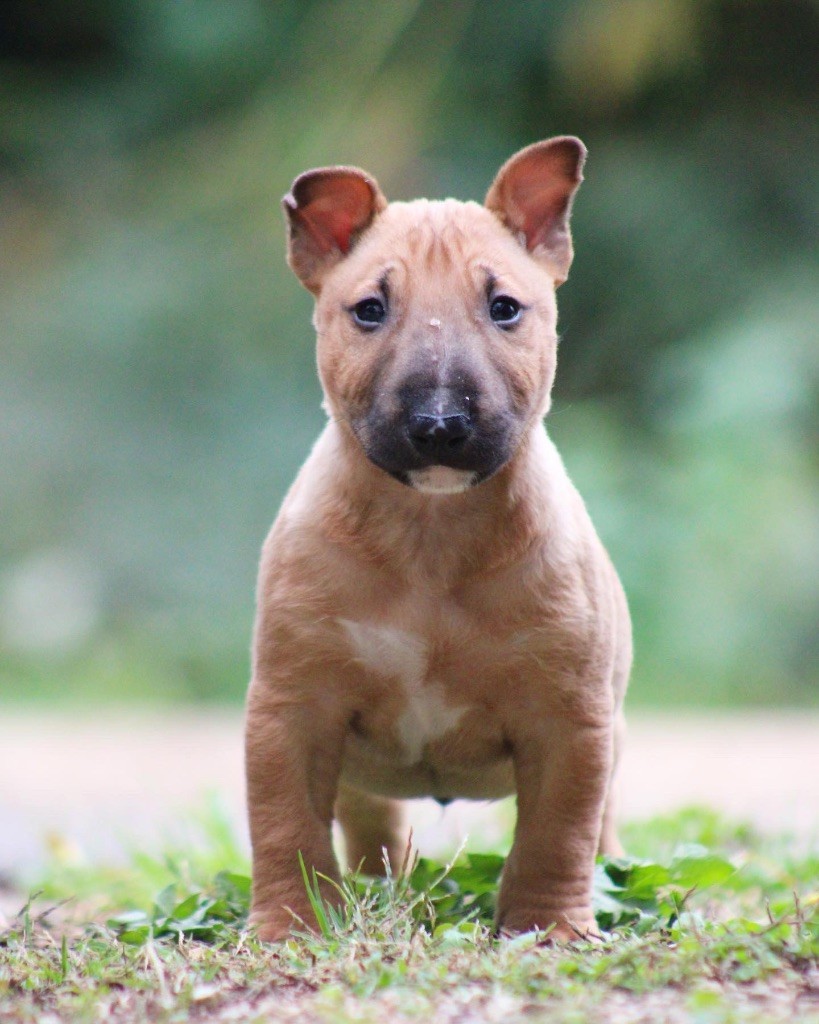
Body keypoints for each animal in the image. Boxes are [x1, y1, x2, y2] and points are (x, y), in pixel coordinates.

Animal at [246, 138, 630, 942]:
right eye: (369, 309)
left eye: (504, 307)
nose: (440, 425)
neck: (430, 536)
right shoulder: (291, 710)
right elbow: (284, 825)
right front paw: (290, 925)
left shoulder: (570, 722)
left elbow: (557, 834)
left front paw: (548, 927)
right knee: (370, 825)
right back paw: (374, 888)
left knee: (602, 828)